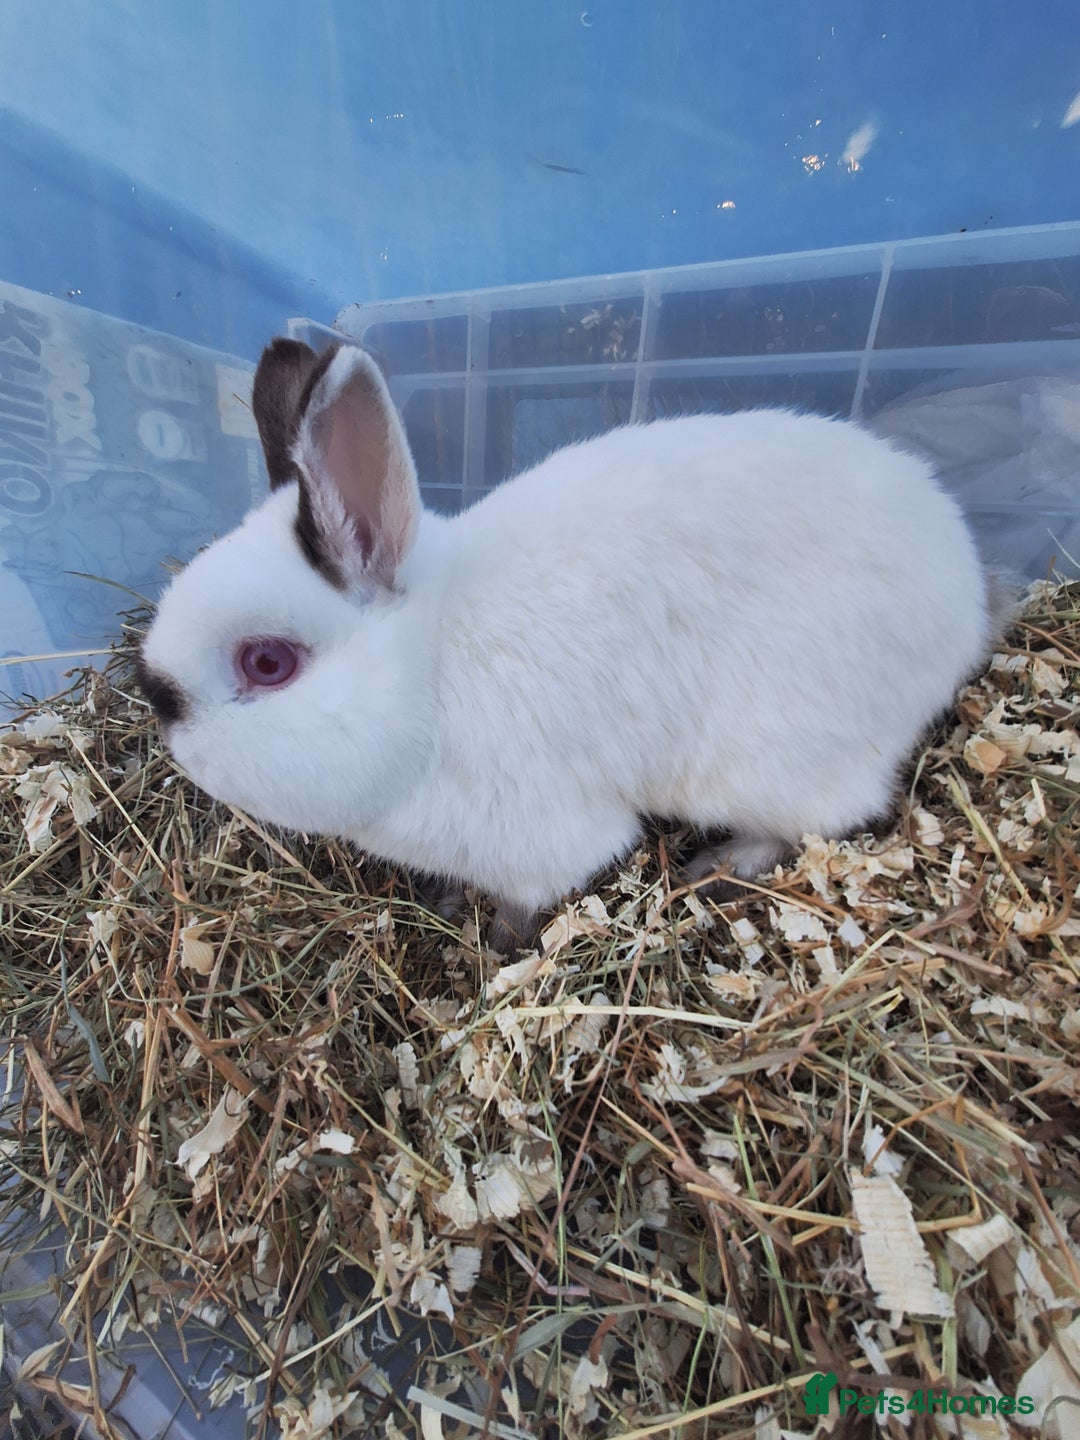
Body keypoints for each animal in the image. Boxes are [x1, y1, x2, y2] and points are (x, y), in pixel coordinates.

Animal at [136, 337, 999, 951]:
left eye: (268, 663)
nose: (156, 701)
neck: (428, 669)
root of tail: (967, 602)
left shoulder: (544, 841)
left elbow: (530, 899)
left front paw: (492, 940)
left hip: (772, 761)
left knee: (831, 815)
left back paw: (716, 868)